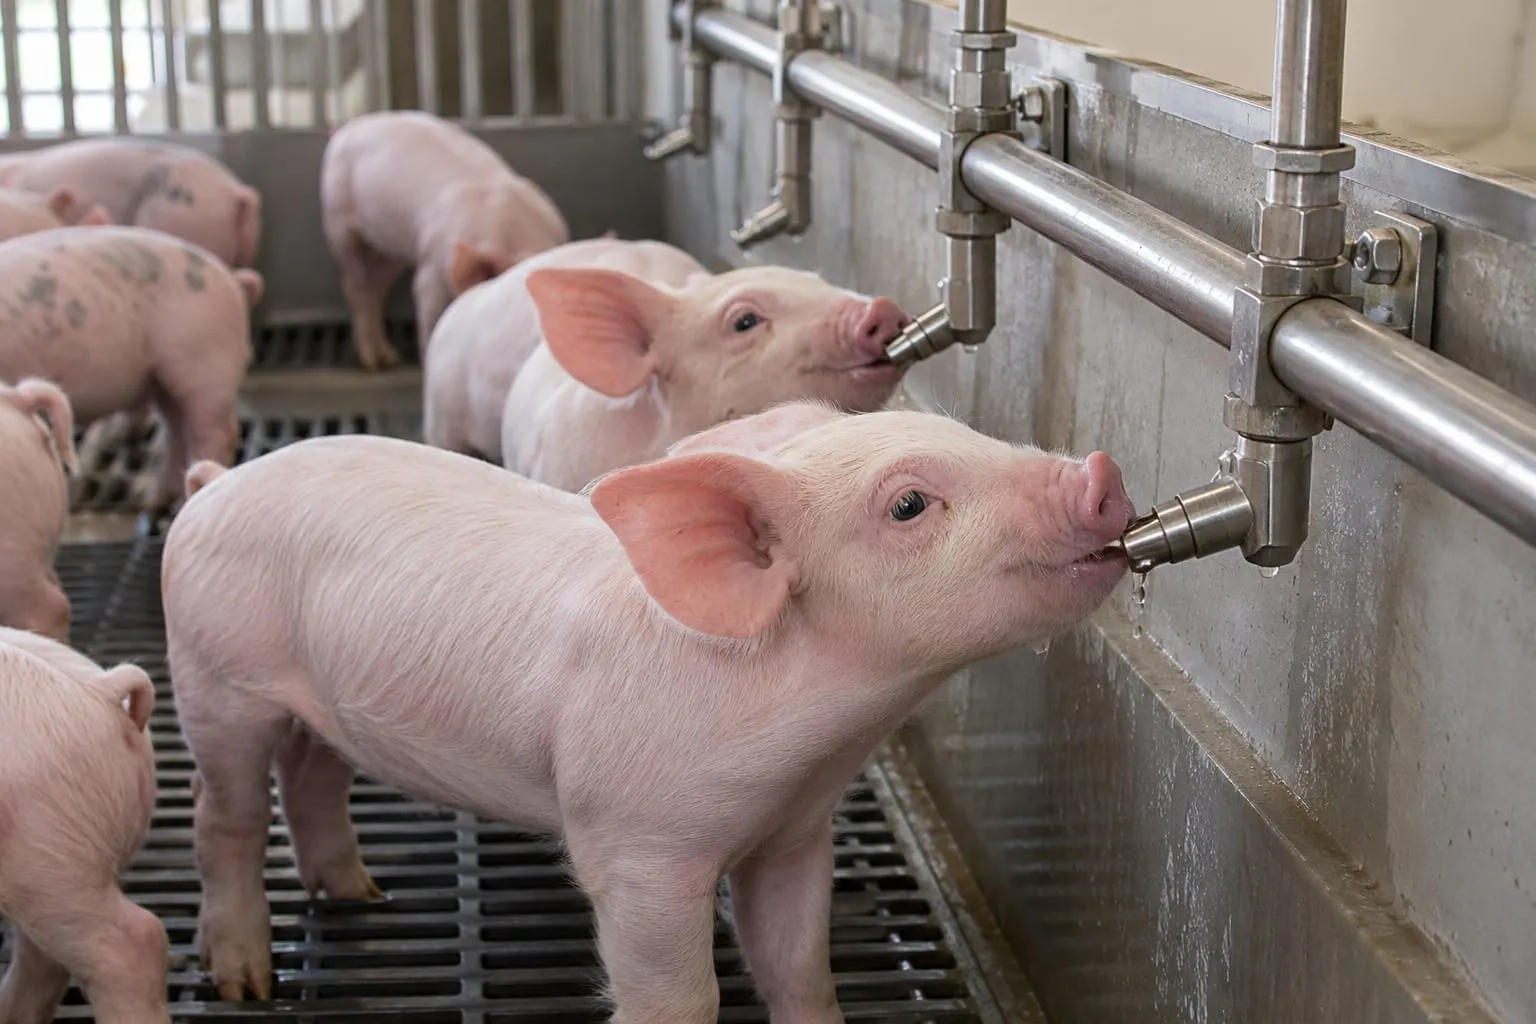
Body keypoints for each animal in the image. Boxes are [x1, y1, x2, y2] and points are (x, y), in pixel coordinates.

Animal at [0, 225, 264, 519]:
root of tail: (232, 279)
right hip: (162, 379)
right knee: (176, 430)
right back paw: (154, 502)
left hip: (207, 361)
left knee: (218, 431)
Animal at [163, 401, 1133, 1021]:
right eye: (907, 504)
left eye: (971, 431)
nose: (1099, 471)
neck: (816, 739)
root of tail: (211, 485)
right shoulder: (635, 844)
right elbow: (682, 997)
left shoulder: (796, 832)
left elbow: (801, 972)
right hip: (215, 677)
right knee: (223, 814)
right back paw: (246, 981)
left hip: (316, 701)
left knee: (312, 769)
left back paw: (360, 892)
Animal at [321, 111, 570, 371]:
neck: (510, 230)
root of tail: (349, 127)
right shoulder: (432, 266)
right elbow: (428, 312)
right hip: (337, 220)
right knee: (357, 286)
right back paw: (374, 362)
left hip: (391, 248)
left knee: (378, 286)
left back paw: (389, 357)